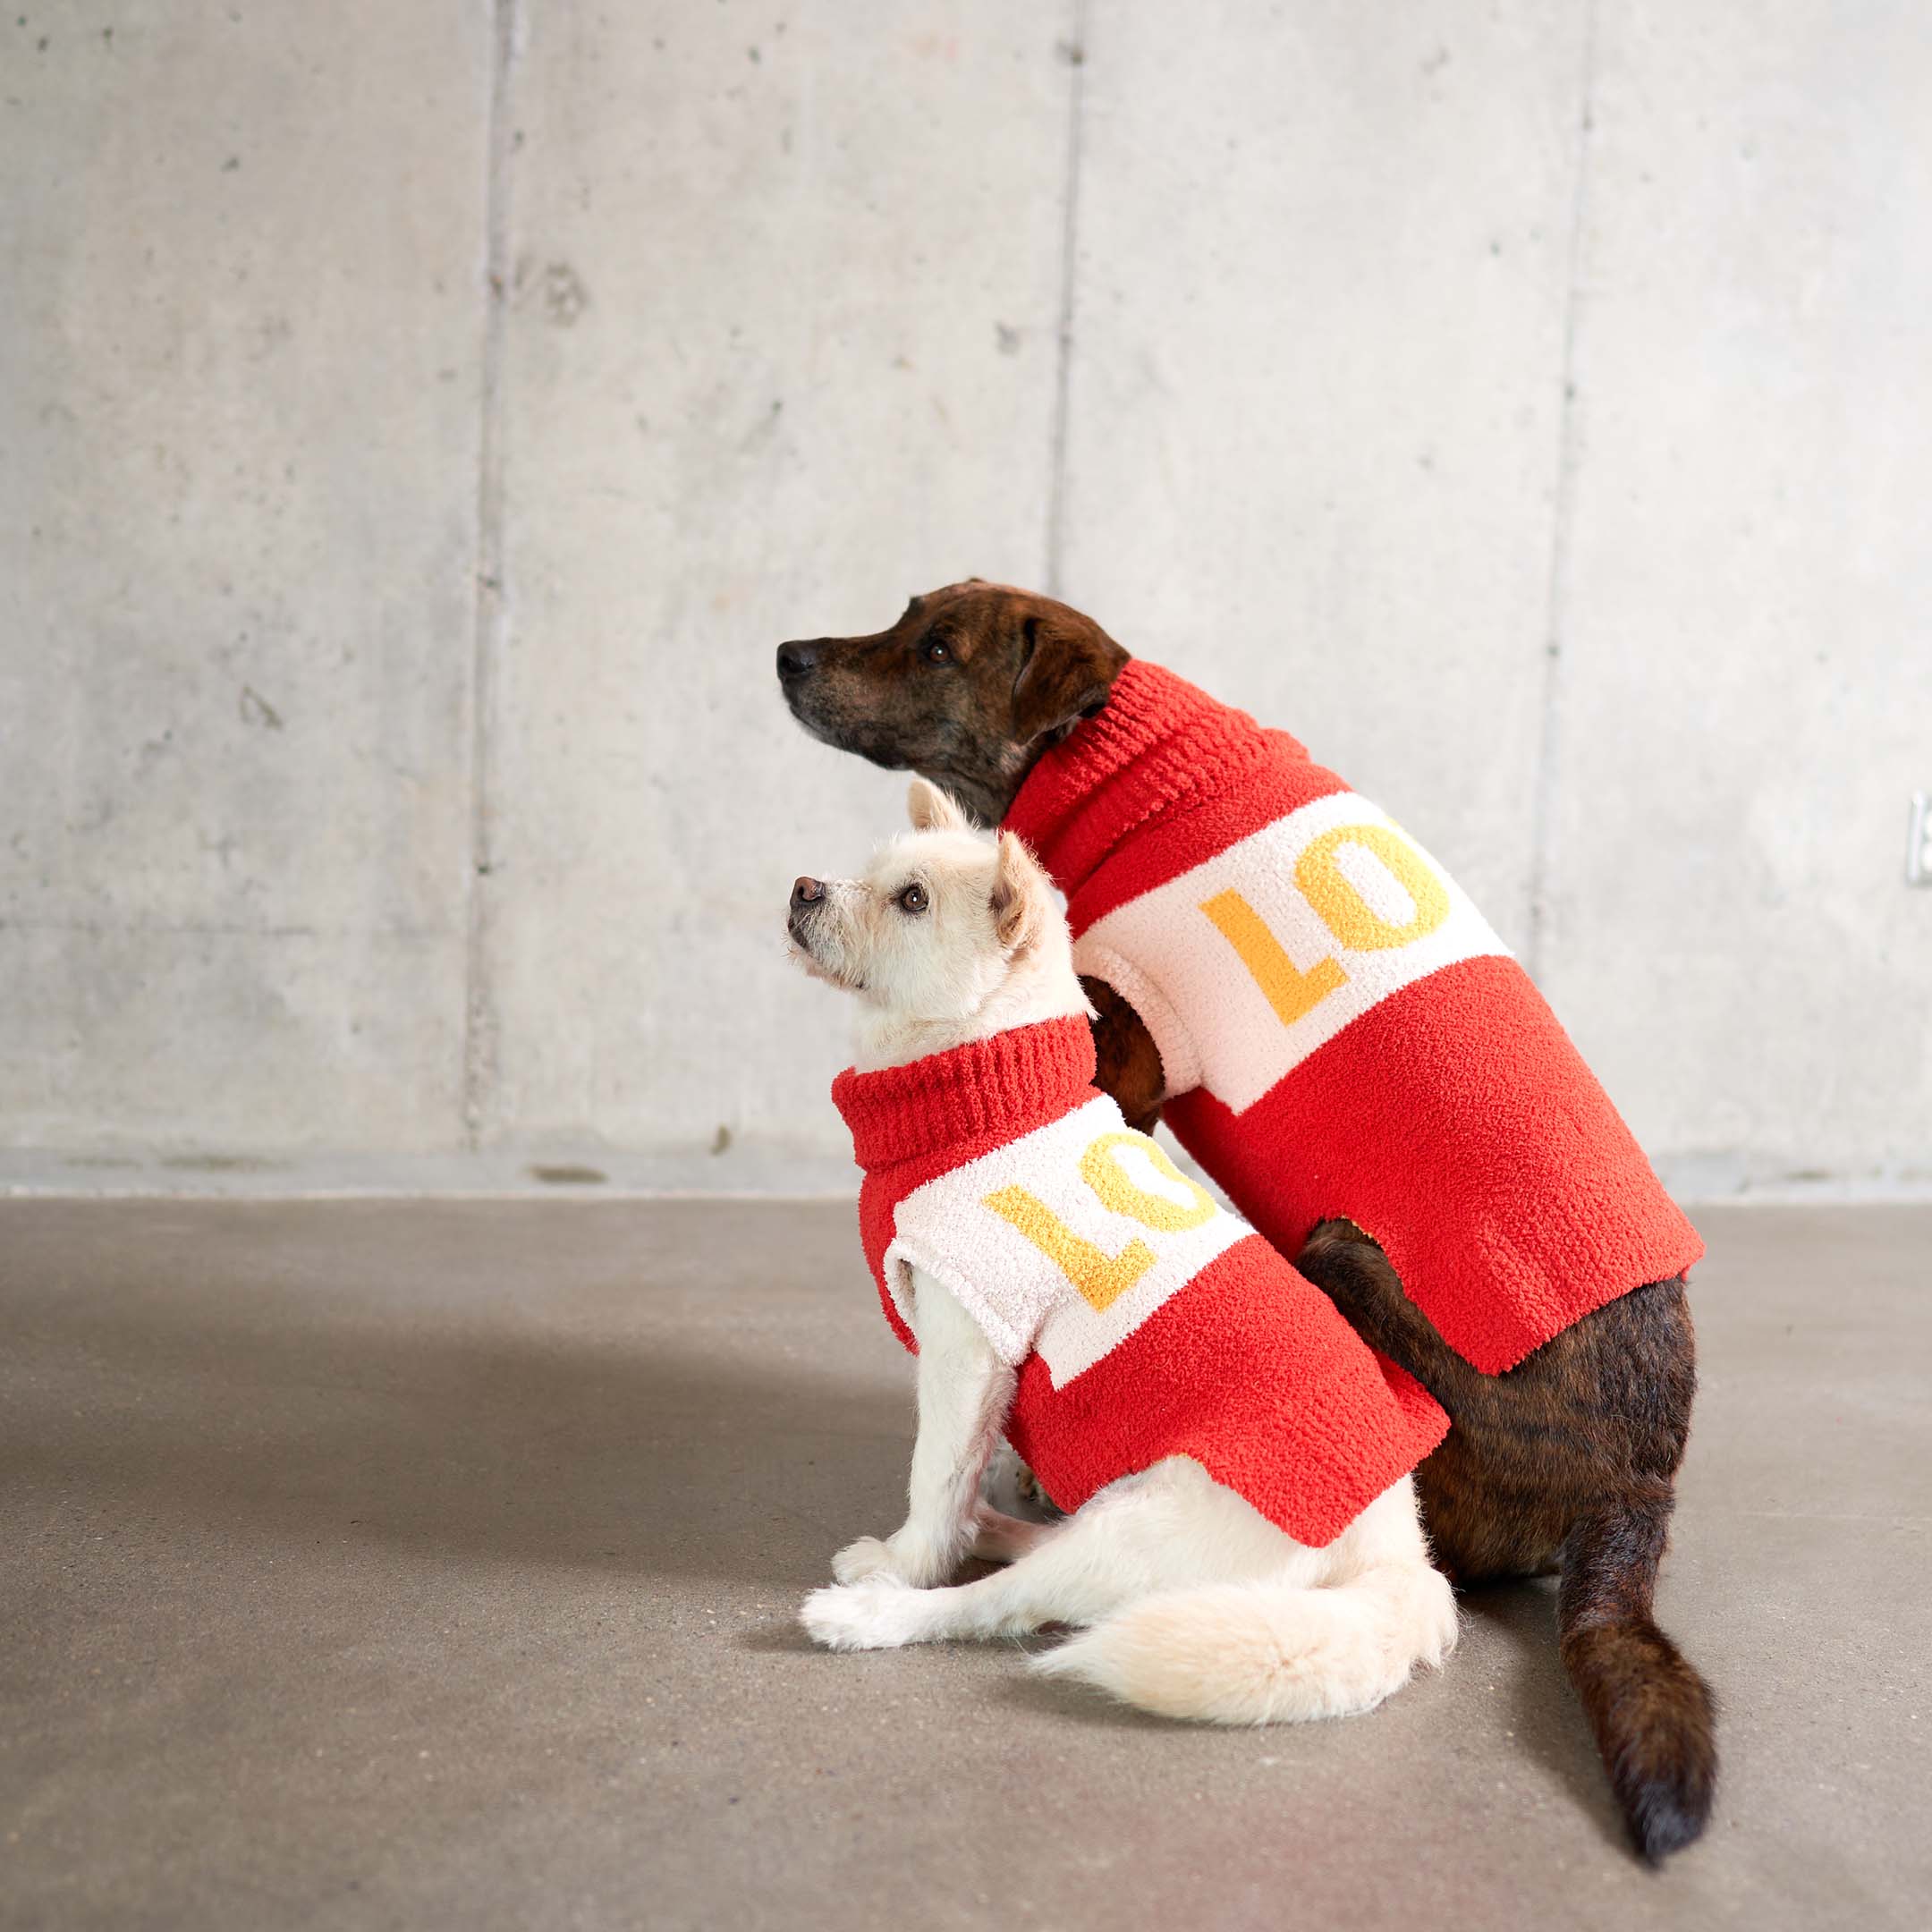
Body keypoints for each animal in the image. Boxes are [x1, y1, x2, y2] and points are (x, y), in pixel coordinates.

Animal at [784, 784, 1453, 1723]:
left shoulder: (967, 1349)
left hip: (1139, 1531)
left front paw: (909, 1561)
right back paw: (1000, 1528)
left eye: (912, 900)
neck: (989, 1093)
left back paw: (875, 1614)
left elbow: (936, 1476)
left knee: (1005, 1605)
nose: (804, 887)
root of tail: (1397, 1556)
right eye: (867, 870)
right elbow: (958, 1476)